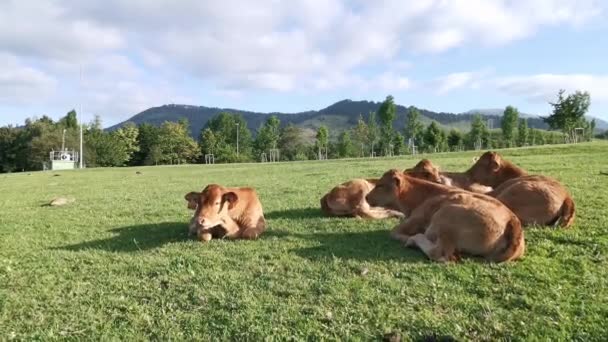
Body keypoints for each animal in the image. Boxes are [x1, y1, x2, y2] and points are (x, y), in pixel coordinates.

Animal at [364, 170, 524, 264]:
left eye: (380, 185)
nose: (365, 197)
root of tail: (512, 219)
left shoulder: (415, 219)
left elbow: (394, 232)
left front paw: (408, 237)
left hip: (445, 215)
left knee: (439, 253)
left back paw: (414, 240)